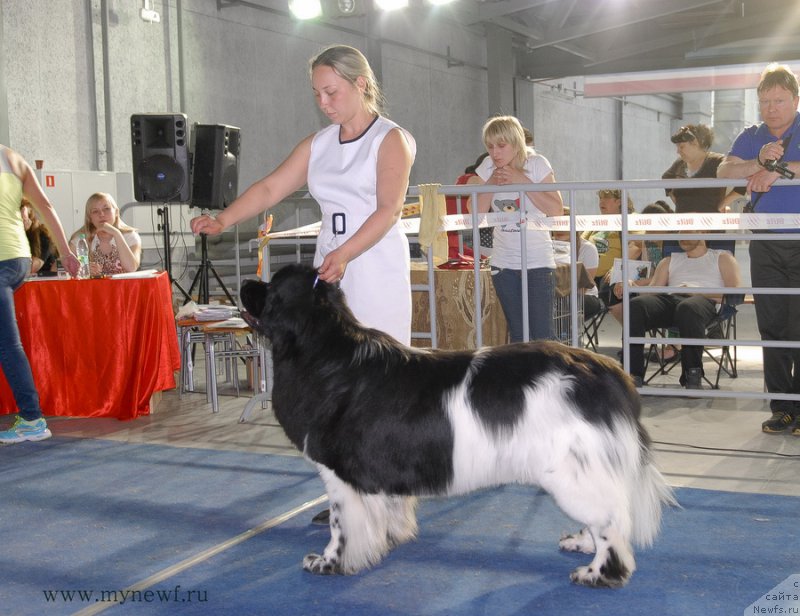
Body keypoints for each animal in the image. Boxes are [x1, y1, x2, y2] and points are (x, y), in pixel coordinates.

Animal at [242, 264, 676, 588]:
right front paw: (391, 538)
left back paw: (598, 573)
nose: (246, 282)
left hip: (570, 469)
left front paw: (328, 563)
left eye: (270, 287)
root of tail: (606, 370)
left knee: (612, 519)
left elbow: (341, 525)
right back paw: (581, 543)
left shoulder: (342, 476)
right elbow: (386, 510)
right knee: (605, 512)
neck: (324, 351)